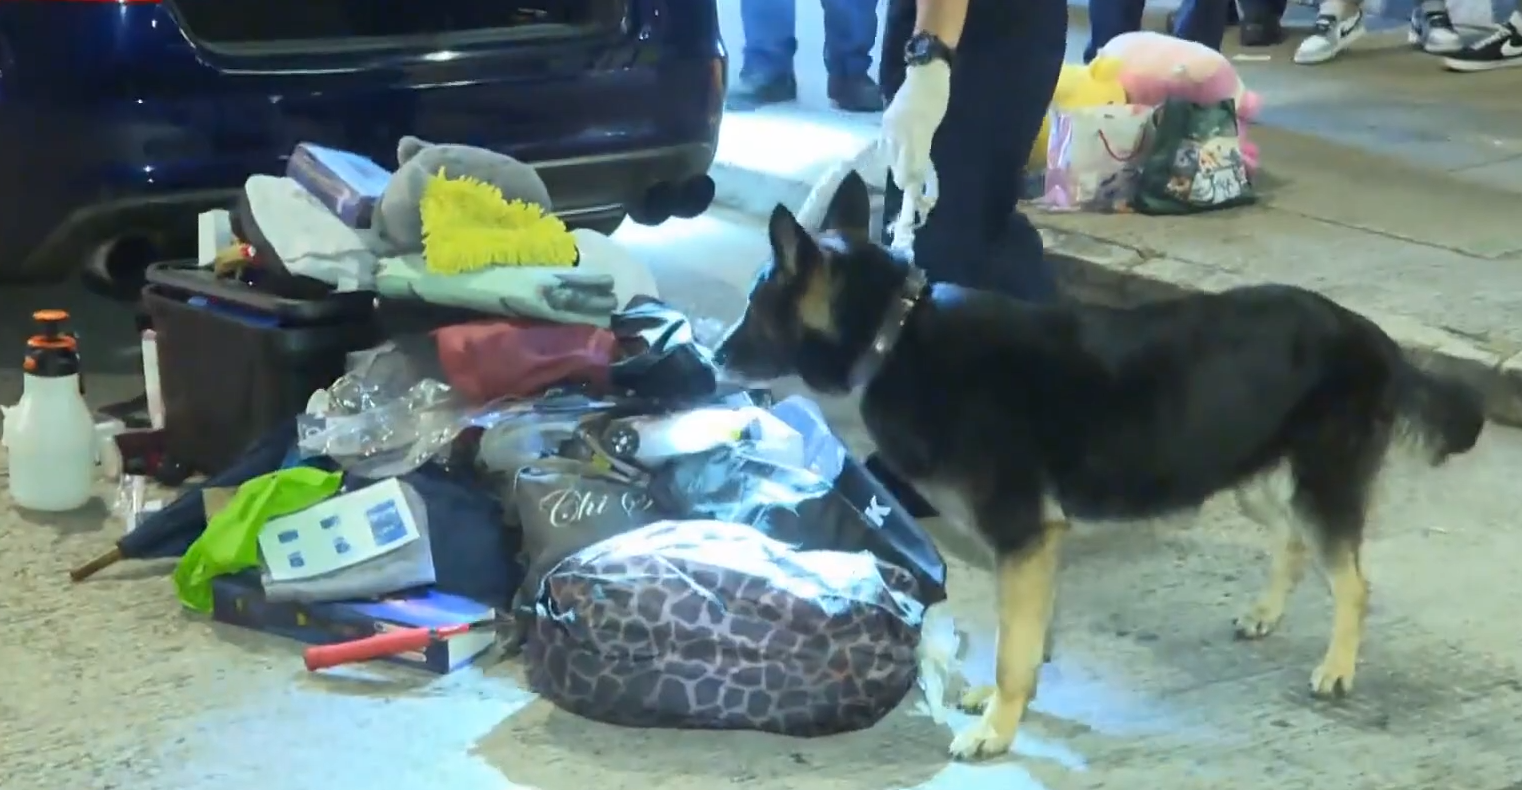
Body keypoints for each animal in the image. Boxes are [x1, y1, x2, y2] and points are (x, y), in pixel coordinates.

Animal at [712, 171, 1485, 761]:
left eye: (754, 308)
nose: (715, 355)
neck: (895, 333)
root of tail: (1374, 336)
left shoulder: (1026, 538)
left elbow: (1013, 650)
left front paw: (997, 728)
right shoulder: (1036, 548)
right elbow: (1027, 639)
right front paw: (1003, 705)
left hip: (1317, 484)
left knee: (1353, 582)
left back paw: (1337, 667)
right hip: (1258, 475)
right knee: (1295, 544)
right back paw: (1267, 613)